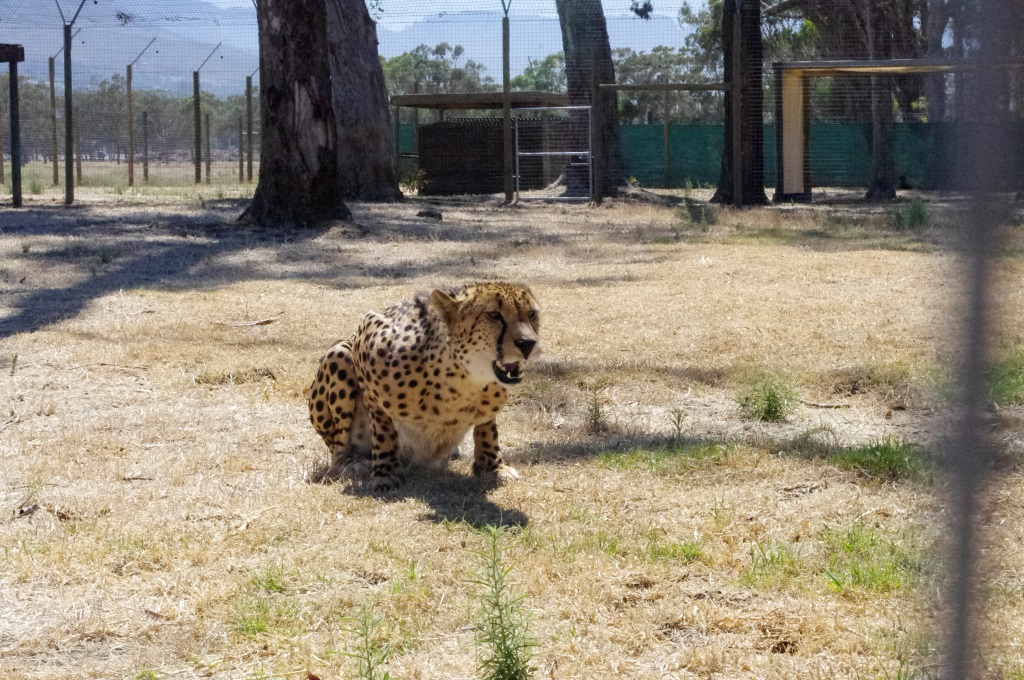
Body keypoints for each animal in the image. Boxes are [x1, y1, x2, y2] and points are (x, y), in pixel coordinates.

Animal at [309, 282, 541, 493]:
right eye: (493, 315)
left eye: (531, 314)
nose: (528, 343)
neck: (463, 382)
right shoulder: (365, 335)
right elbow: (383, 430)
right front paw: (385, 474)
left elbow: (487, 428)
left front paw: (492, 466)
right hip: (338, 354)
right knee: (337, 448)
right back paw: (352, 462)